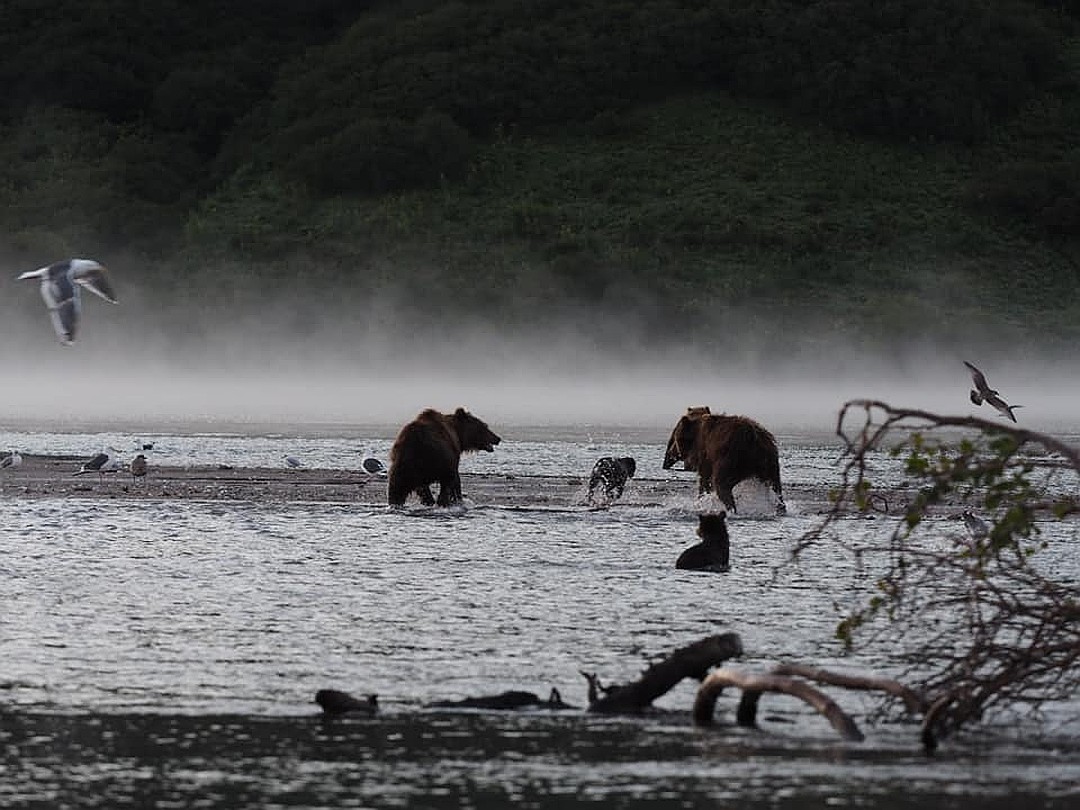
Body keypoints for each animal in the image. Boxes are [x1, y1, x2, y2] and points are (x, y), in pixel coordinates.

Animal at [656, 408, 786, 516]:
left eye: (674, 438)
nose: (671, 452)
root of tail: (755, 442)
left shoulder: (706, 455)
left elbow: (705, 482)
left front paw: (700, 503)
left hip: (730, 459)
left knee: (721, 484)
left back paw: (731, 509)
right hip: (769, 462)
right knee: (776, 488)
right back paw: (780, 509)